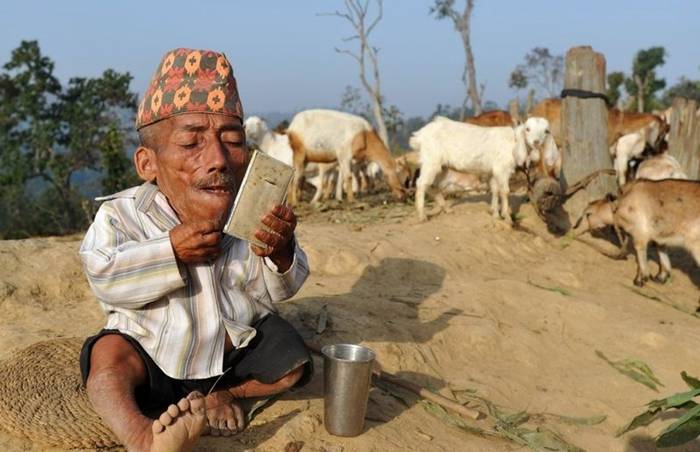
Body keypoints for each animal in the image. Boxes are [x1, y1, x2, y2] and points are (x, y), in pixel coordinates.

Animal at [410, 116, 556, 222]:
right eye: (527, 129)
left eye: (546, 131)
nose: (536, 142)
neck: (513, 142)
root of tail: (419, 135)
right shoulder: (502, 169)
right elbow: (505, 191)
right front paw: (507, 217)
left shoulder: (494, 172)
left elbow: (495, 190)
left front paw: (495, 214)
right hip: (431, 160)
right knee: (421, 183)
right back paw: (422, 215)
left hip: (442, 166)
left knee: (432, 185)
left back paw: (447, 209)